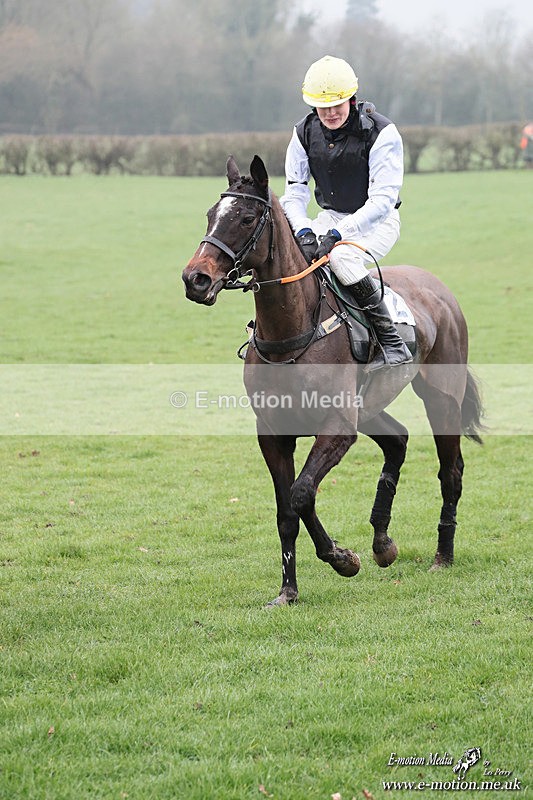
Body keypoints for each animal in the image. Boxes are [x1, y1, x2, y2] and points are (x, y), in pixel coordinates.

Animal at [182, 155, 484, 606]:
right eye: (210, 215)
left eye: (247, 217)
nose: (195, 279)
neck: (291, 334)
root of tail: (440, 289)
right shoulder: (273, 432)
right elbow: (286, 512)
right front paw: (288, 592)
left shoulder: (337, 427)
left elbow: (302, 492)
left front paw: (343, 559)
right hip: (370, 408)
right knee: (398, 441)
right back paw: (382, 543)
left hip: (440, 399)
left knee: (451, 472)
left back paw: (441, 557)